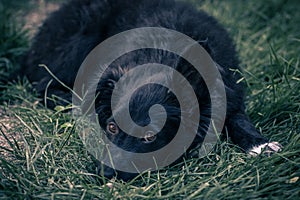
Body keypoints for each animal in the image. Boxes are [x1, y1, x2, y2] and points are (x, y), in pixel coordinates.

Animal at [21, 0, 282, 181]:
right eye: (112, 127)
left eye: (150, 137)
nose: (105, 174)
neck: (161, 54)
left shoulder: (229, 92)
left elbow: (238, 118)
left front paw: (260, 144)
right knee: (45, 86)